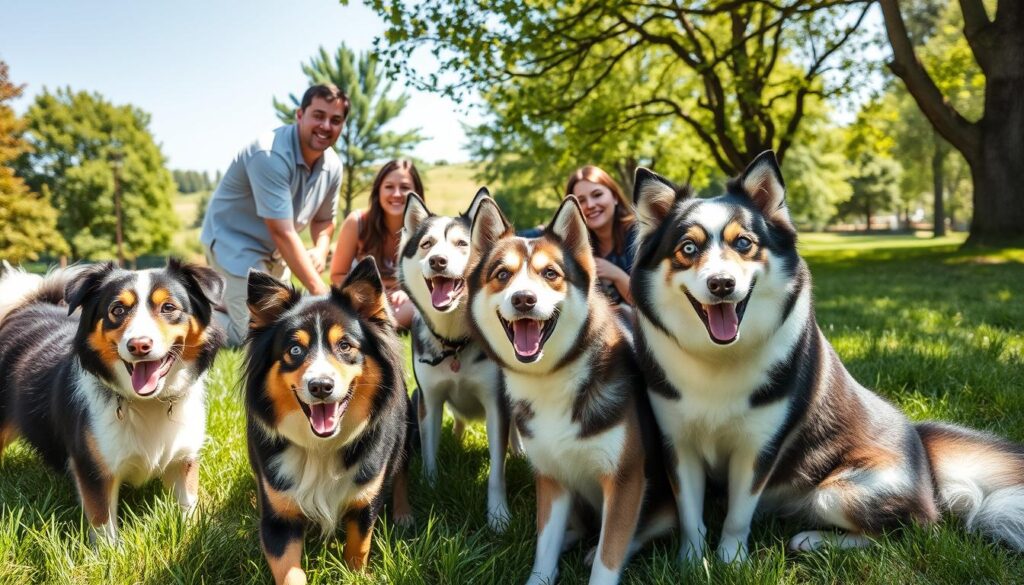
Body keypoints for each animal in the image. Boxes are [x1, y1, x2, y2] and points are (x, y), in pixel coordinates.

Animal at [0, 261, 224, 545]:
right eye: (117, 310)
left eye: (169, 307)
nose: (139, 345)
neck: (147, 403)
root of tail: (30, 304)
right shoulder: (93, 465)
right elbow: (101, 518)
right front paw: (109, 553)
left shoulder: (183, 458)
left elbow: (188, 503)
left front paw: (193, 533)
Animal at [395, 191, 516, 532]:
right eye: (427, 244)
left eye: (462, 243)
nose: (438, 260)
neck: (455, 342)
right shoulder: (429, 400)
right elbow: (430, 451)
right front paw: (429, 486)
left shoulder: (496, 403)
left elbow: (498, 471)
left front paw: (498, 515)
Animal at [468, 196, 675, 585]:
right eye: (502, 275)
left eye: (550, 273)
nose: (523, 299)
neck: (552, 378)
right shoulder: (551, 478)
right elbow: (544, 546)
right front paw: (541, 572)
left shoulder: (625, 480)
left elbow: (610, 556)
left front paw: (600, 560)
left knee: (635, 535)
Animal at [630, 150, 1024, 561]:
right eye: (688, 249)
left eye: (743, 243)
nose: (722, 284)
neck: (718, 358)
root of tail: (920, 445)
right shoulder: (678, 443)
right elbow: (690, 516)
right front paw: (692, 562)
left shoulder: (758, 447)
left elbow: (738, 516)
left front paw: (731, 561)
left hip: (837, 492)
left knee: (912, 530)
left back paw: (813, 540)